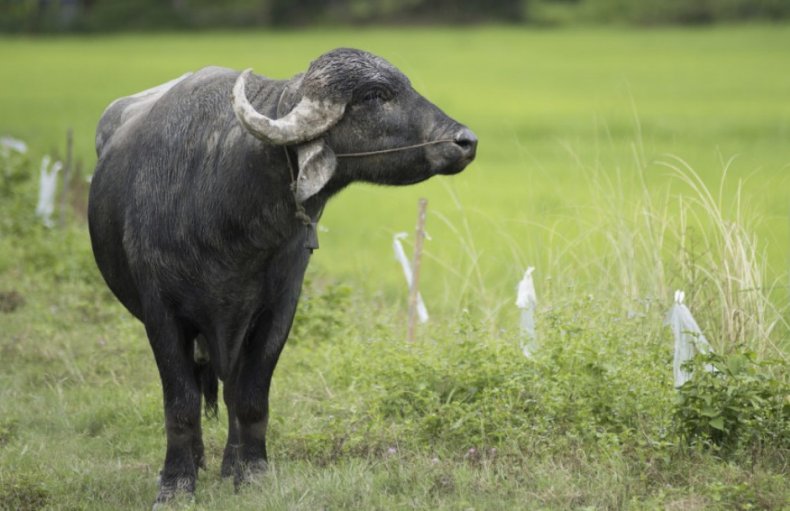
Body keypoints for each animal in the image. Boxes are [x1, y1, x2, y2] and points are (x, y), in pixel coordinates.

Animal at [89, 48, 480, 504]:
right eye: (375, 95)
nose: (465, 141)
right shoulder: (160, 314)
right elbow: (181, 402)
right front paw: (174, 484)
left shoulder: (277, 309)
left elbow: (251, 396)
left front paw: (252, 472)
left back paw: (229, 463)